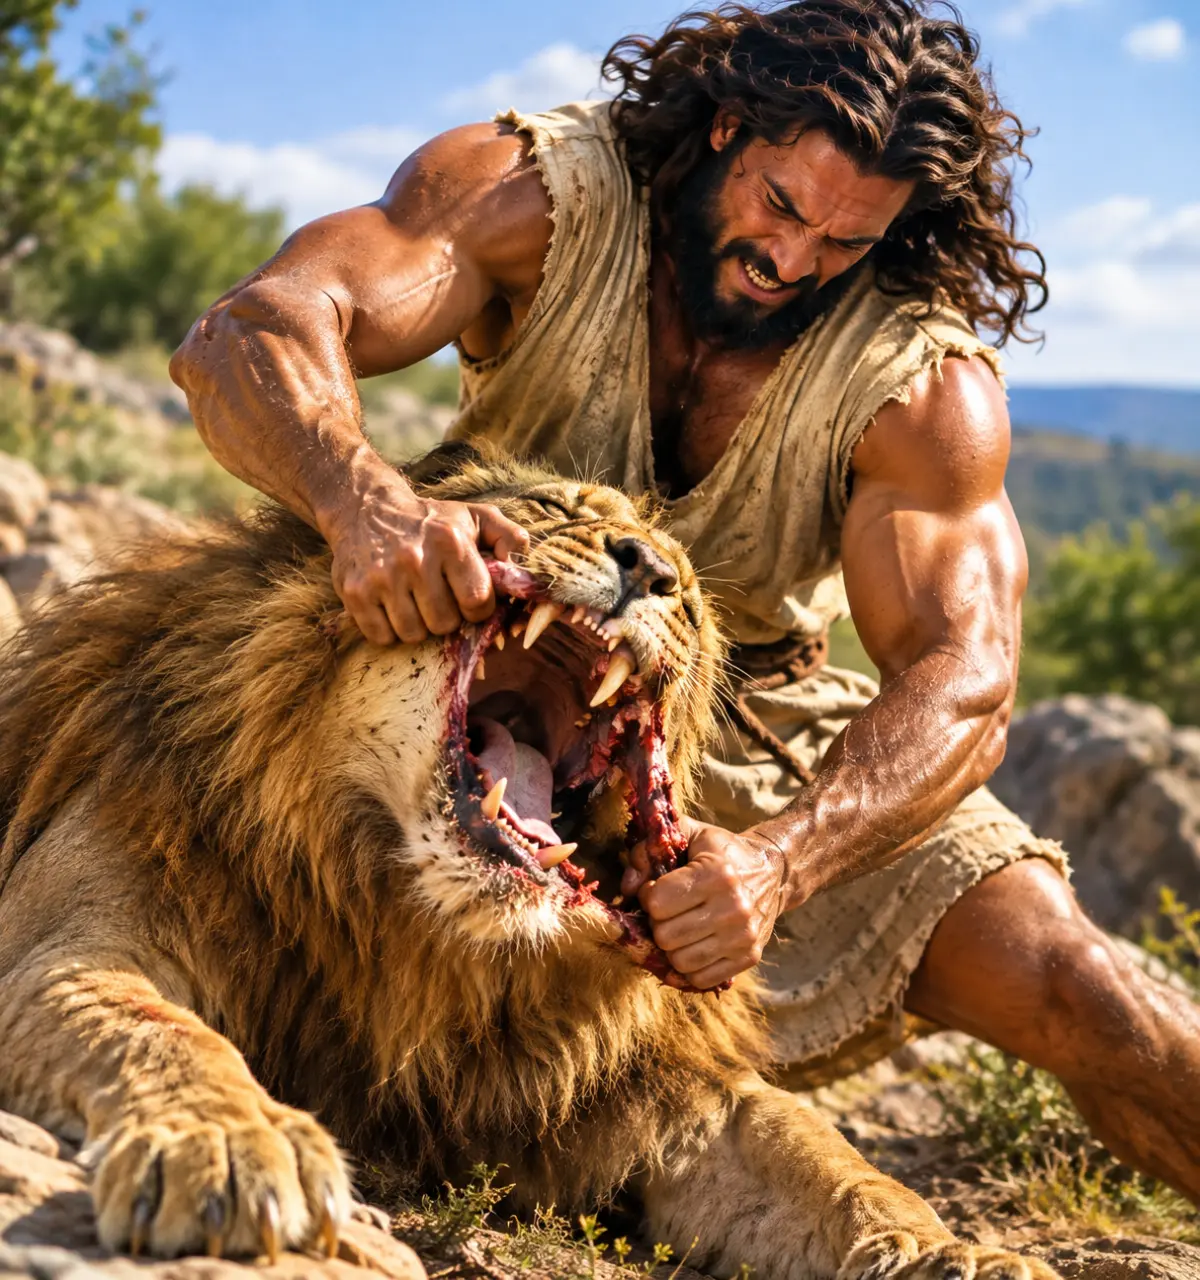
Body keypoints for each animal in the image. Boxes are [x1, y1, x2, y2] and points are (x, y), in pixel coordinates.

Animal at [0, 443, 1059, 1279]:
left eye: (695, 604)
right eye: (555, 510)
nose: (652, 569)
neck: (418, 926)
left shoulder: (673, 1086)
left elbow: (840, 1169)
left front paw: (960, 1253)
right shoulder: (70, 945)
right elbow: (160, 1030)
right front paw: (233, 1145)